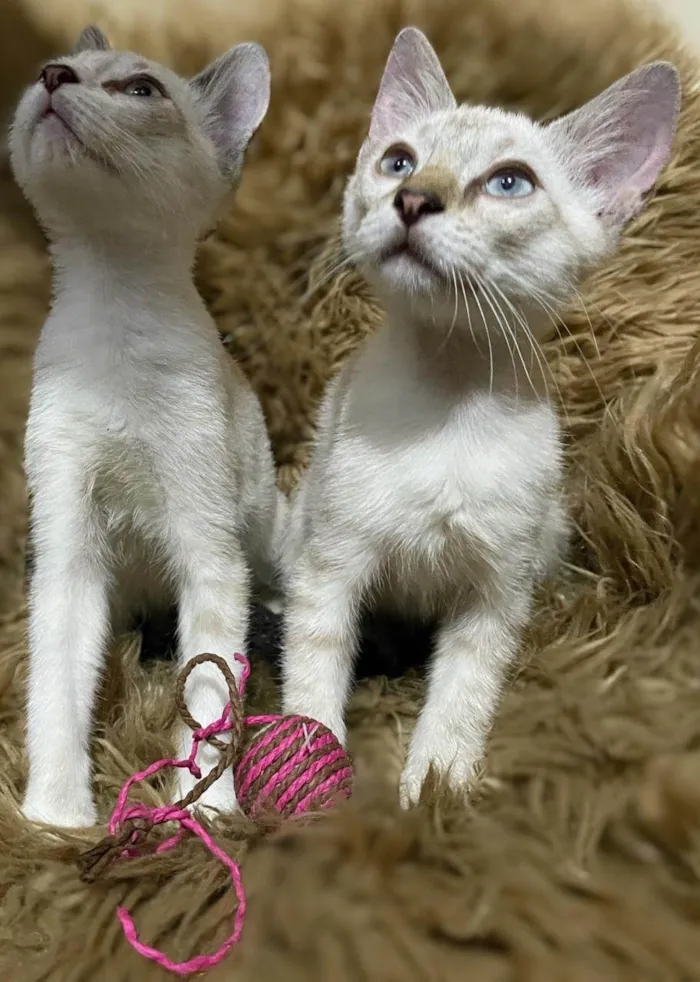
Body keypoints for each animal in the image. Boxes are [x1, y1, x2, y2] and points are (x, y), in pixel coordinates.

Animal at [8, 26, 282, 828]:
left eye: (140, 91)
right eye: (56, 69)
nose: (52, 75)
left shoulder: (210, 554)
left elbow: (210, 695)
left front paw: (207, 811)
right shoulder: (66, 553)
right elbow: (55, 693)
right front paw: (55, 820)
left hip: (267, 537)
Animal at [282, 26, 680, 808]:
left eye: (509, 183)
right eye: (398, 161)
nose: (412, 198)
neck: (446, 397)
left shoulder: (495, 594)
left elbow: (463, 690)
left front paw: (435, 790)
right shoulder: (331, 566)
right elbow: (313, 675)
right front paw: (309, 788)